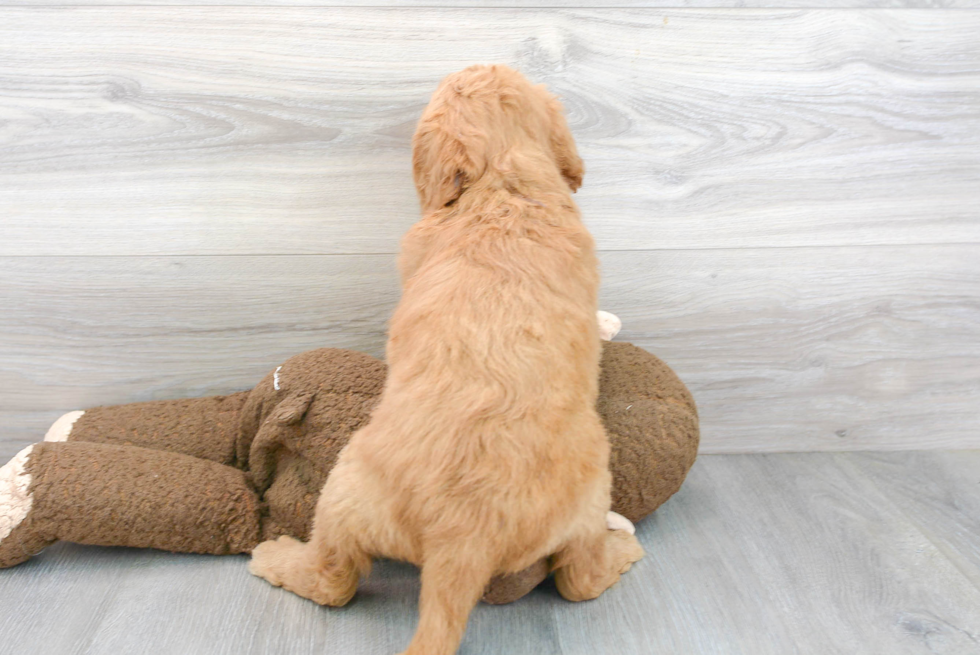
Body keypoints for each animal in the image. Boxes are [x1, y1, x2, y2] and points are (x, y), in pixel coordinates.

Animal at [249, 65, 644, 655]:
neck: (502, 184)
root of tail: (465, 540)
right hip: (586, 494)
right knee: (578, 579)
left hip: (343, 489)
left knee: (333, 581)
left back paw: (273, 556)